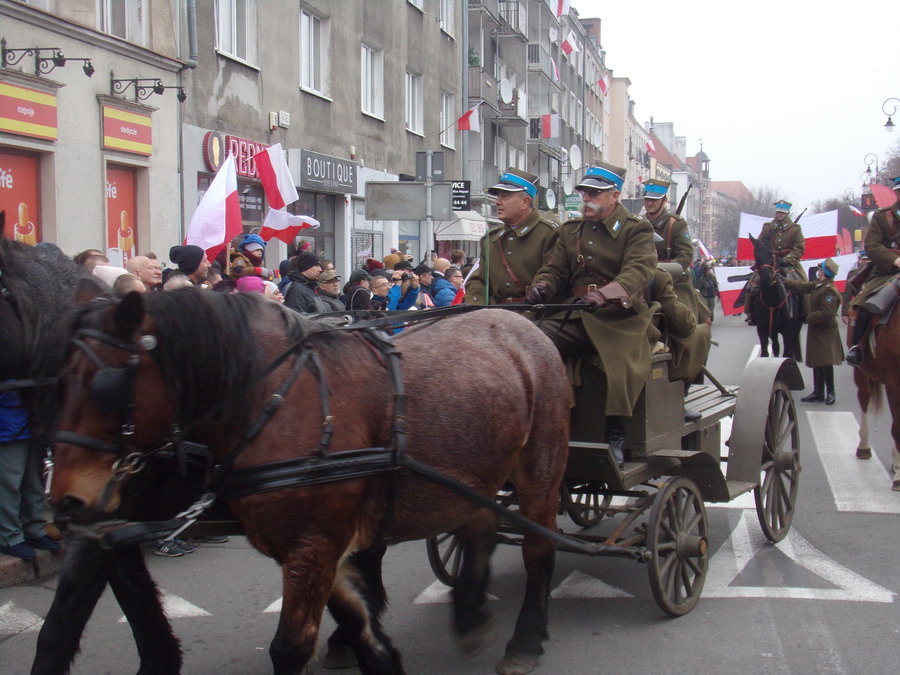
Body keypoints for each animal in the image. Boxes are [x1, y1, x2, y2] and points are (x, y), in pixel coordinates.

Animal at [45, 290, 572, 675]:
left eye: (106, 386)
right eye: (59, 382)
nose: (66, 501)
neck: (274, 399)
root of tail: (524, 326)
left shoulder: (314, 545)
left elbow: (291, 647)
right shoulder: (315, 547)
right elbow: (358, 618)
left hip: (539, 471)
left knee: (538, 548)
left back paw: (526, 638)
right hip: (472, 478)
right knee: (478, 528)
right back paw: (468, 610)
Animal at [748, 232, 804, 360]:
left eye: (771, 253)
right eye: (756, 254)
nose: (766, 278)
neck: (772, 300)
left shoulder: (788, 330)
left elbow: (787, 354)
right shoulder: (762, 329)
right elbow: (765, 353)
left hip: (796, 326)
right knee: (775, 346)